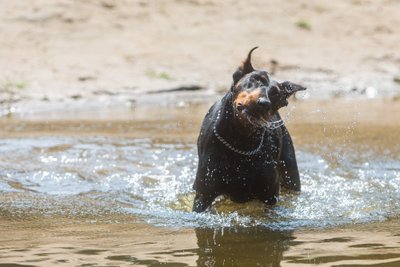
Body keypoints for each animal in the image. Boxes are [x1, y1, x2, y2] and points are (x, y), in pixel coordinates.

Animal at [192, 47, 304, 213]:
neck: (242, 141)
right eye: (256, 79)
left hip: (290, 172)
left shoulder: (269, 195)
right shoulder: (203, 195)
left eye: (276, 93)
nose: (264, 103)